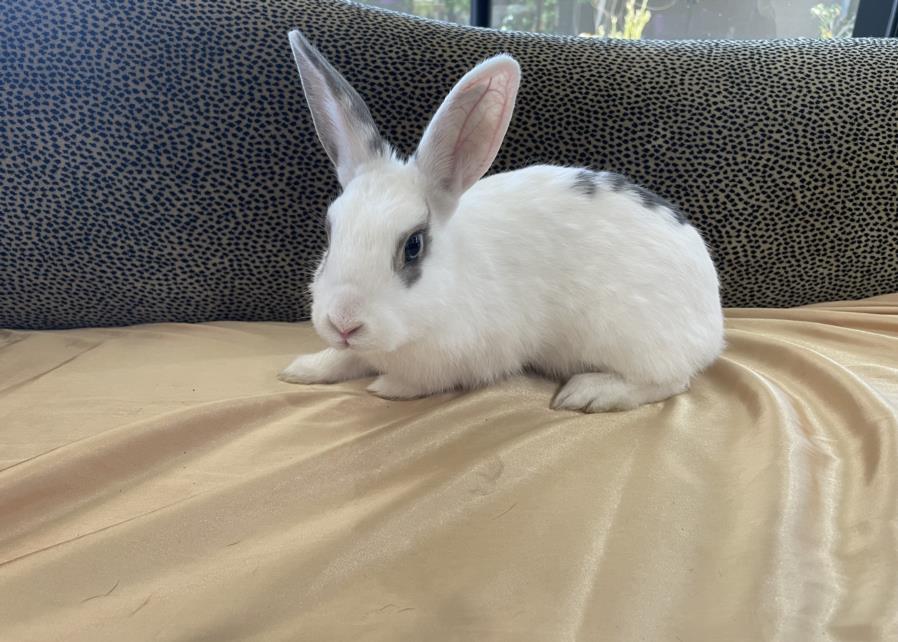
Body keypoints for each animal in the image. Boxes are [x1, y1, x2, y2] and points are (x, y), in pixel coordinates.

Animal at [276, 30, 724, 410]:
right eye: (329, 232)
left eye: (414, 245)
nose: (343, 323)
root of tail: (713, 322)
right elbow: (343, 360)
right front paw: (302, 369)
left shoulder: (464, 359)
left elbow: (416, 382)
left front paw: (387, 387)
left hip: (637, 341)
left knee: (671, 380)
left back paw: (590, 393)